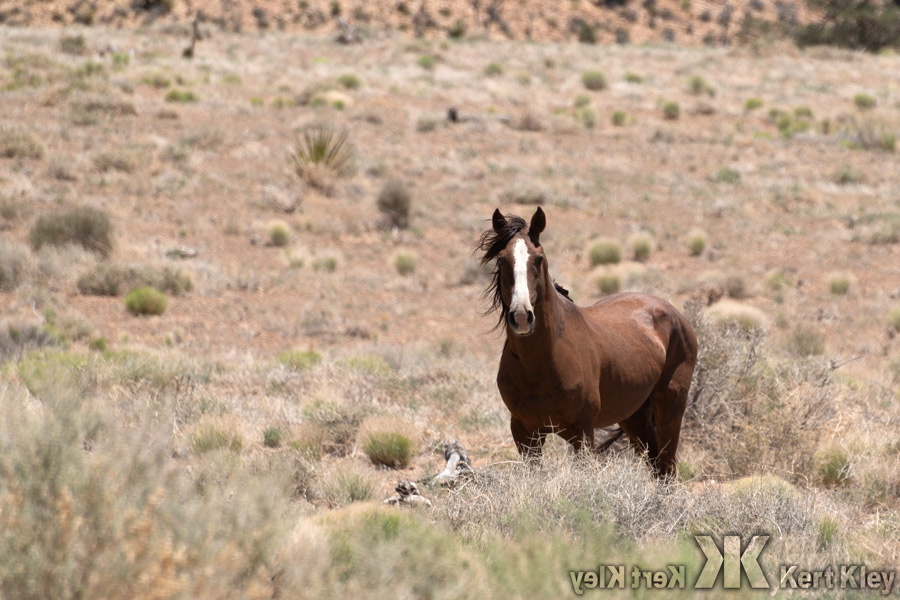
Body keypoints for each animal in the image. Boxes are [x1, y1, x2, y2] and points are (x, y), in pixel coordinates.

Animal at [477, 207, 698, 477]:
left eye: (538, 259)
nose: (521, 316)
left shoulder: (581, 431)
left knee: (667, 470)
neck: (540, 362)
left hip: (670, 408)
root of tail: (675, 315)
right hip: (634, 417)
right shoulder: (525, 432)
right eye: (501, 259)